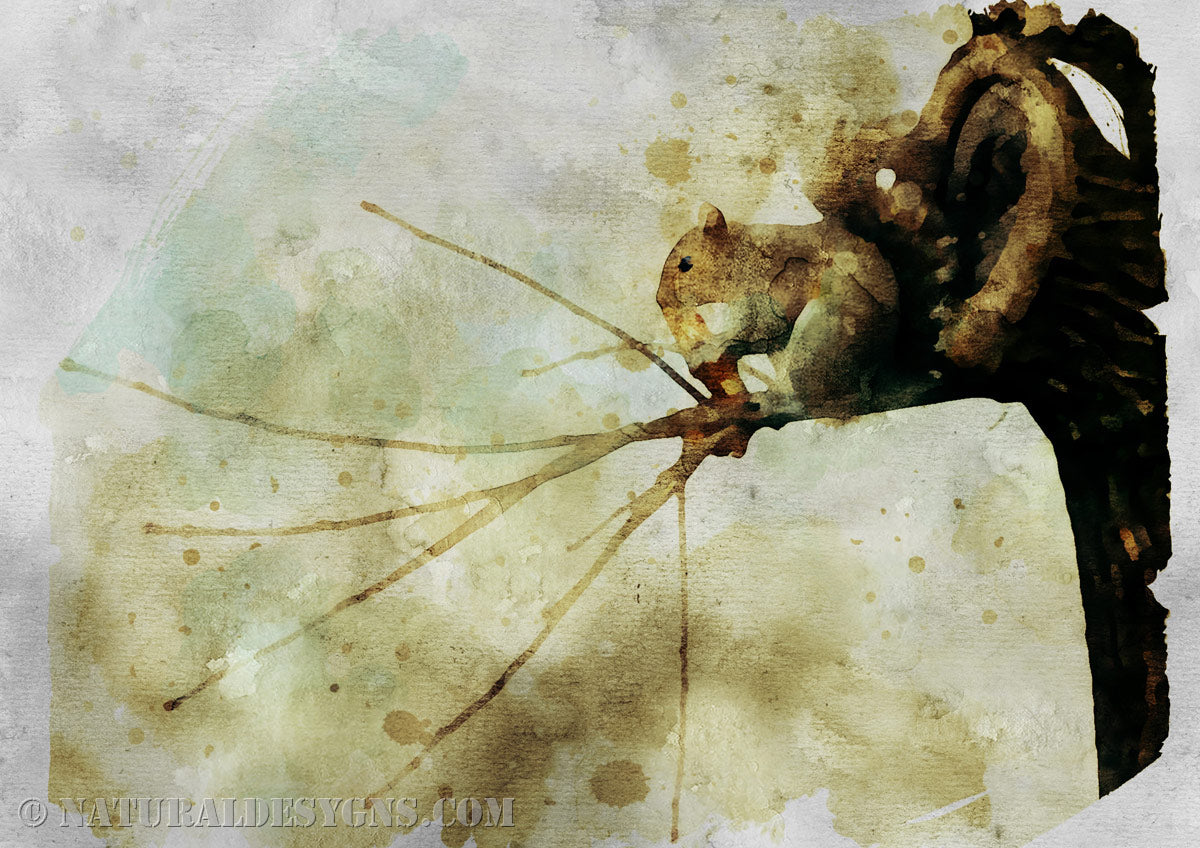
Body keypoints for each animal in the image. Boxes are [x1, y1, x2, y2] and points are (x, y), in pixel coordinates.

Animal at [657, 1, 1170, 797]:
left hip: (820, 342)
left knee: (810, 389)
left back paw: (775, 398)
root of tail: (863, 388)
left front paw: (717, 349)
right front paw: (706, 359)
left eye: (683, 262)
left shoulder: (779, 287)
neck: (742, 259)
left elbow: (758, 323)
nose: (659, 302)